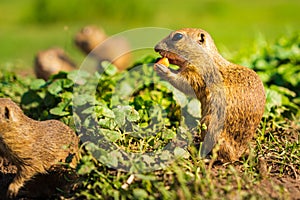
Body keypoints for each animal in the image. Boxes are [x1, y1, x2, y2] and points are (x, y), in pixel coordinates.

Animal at [155, 28, 264, 162]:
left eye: (178, 36)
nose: (156, 48)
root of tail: (239, 152)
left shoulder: (198, 74)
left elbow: (184, 82)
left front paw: (162, 69)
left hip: (208, 124)